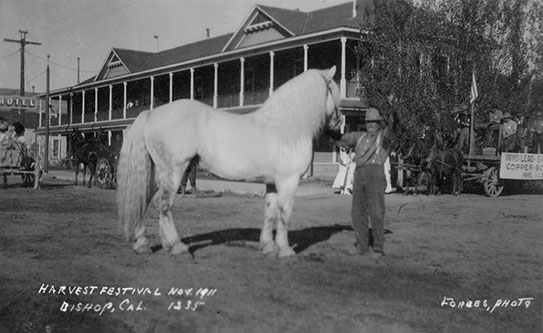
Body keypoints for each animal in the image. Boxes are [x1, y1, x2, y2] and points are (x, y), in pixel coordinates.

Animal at [117, 65, 342, 256]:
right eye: (334, 91)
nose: (338, 127)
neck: (284, 127)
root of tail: (151, 114)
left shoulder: (272, 184)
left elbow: (270, 213)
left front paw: (268, 247)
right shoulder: (288, 181)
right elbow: (285, 214)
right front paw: (285, 250)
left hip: (158, 173)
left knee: (145, 200)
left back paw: (144, 244)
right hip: (174, 172)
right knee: (164, 205)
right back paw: (177, 247)